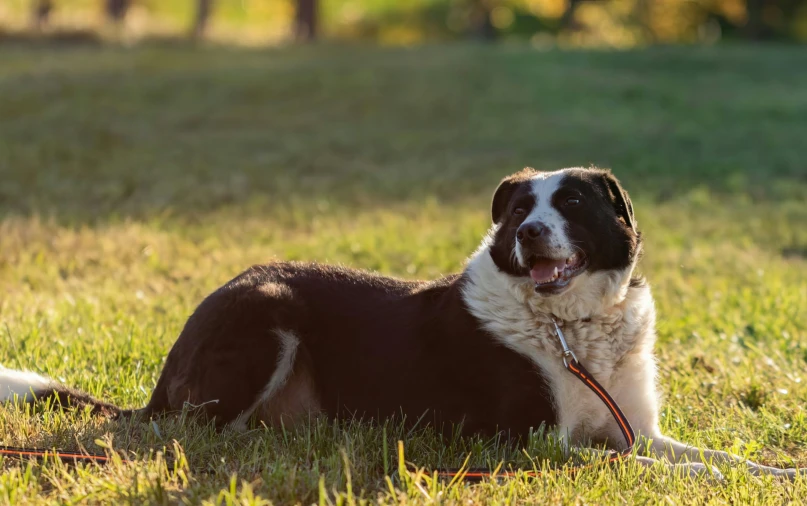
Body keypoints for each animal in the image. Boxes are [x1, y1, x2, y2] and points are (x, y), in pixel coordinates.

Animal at [3, 167, 804, 478]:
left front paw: (776, 472)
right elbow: (635, 462)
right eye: (520, 210)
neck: (566, 326)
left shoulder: (637, 427)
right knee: (196, 430)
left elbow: (707, 456)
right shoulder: (530, 443)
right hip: (265, 310)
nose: (529, 234)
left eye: (573, 205)